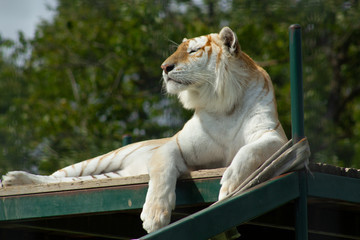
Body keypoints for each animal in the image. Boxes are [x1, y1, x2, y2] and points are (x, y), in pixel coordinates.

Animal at [0, 27, 286, 233]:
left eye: (193, 50)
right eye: (177, 50)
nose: (164, 67)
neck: (222, 103)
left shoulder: (273, 136)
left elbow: (247, 152)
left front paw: (230, 185)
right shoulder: (173, 147)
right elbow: (162, 173)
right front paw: (154, 216)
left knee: (68, 181)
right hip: (99, 161)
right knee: (55, 175)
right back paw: (14, 178)